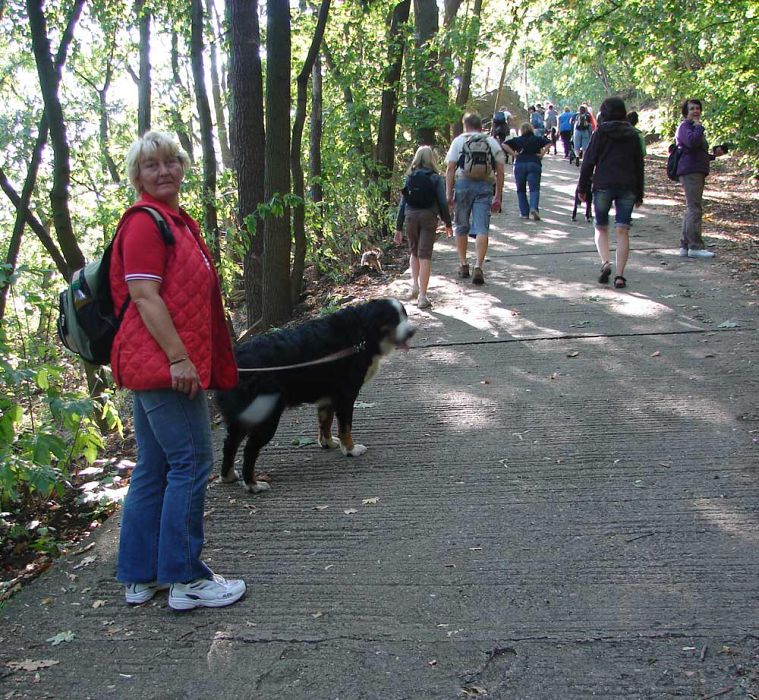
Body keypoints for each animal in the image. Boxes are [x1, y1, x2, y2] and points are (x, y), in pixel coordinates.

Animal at [214, 300, 416, 492]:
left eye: (404, 315)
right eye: (393, 318)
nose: (412, 331)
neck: (363, 334)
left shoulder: (328, 397)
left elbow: (325, 422)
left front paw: (328, 443)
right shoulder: (346, 395)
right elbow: (346, 427)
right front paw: (350, 449)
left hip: (242, 418)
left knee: (229, 444)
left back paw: (228, 476)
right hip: (265, 418)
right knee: (249, 450)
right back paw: (253, 485)